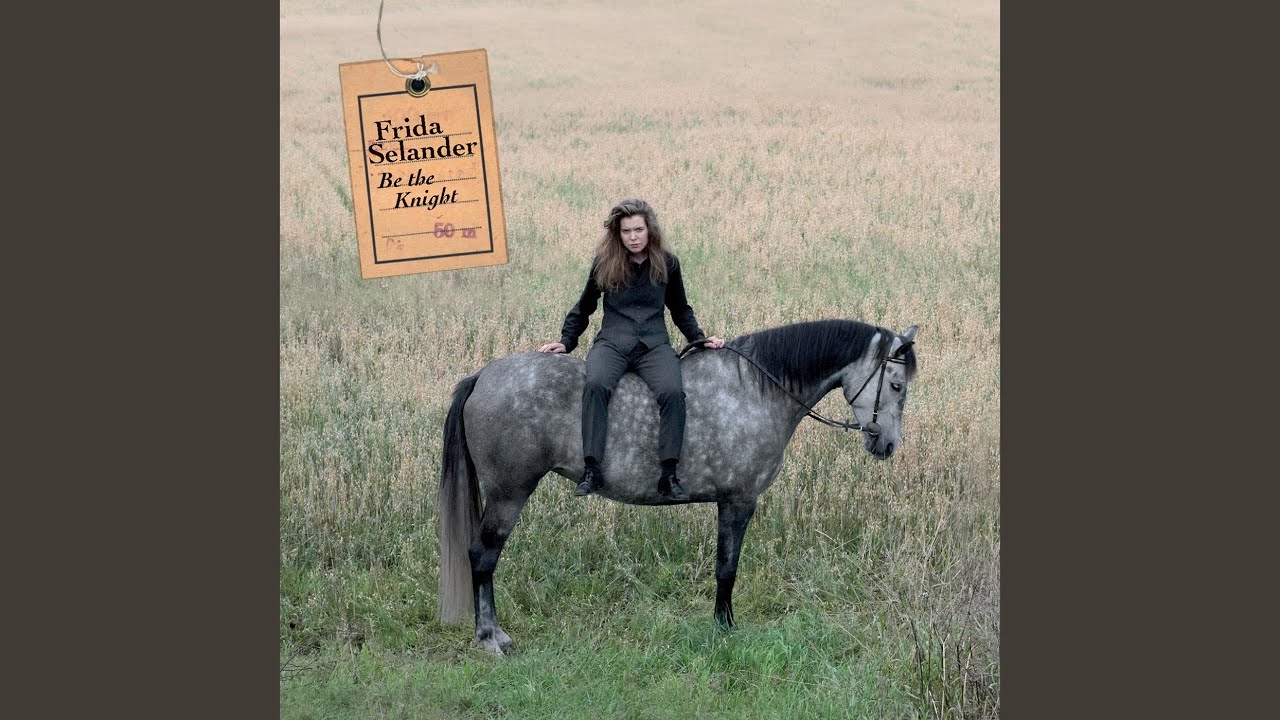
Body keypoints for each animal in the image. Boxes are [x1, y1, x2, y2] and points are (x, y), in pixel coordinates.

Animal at [438, 318, 919, 654]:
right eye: (896, 385)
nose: (888, 445)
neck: (754, 391)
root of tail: (483, 376)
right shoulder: (739, 502)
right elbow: (727, 568)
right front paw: (725, 627)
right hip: (509, 494)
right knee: (483, 556)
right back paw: (491, 636)